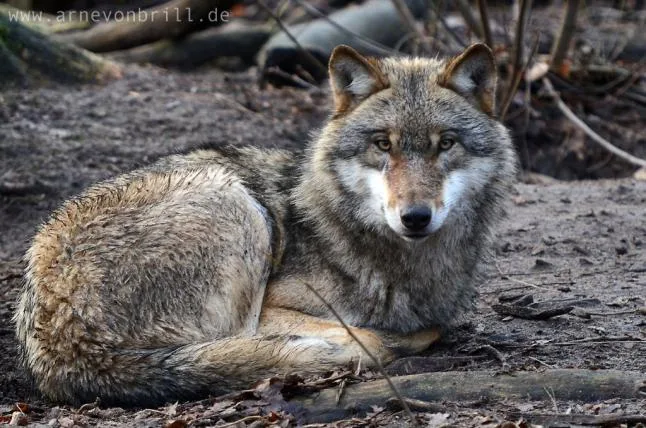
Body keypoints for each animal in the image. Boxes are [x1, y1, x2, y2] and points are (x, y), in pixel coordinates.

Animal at [15, 43, 517, 406]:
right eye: (383, 144)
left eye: (445, 144)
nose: (415, 217)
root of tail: (63, 344)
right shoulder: (275, 308)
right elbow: (365, 332)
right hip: (234, 202)